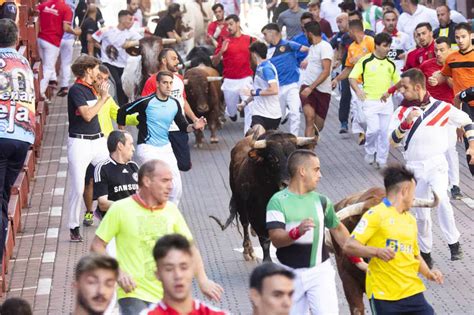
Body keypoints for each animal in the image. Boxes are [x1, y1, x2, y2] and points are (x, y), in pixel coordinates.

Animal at [211, 127, 318, 262]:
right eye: (272, 158)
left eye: (294, 155)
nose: (287, 183)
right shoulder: (257, 216)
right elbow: (265, 241)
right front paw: (267, 260)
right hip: (241, 205)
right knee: (245, 224)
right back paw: (248, 251)